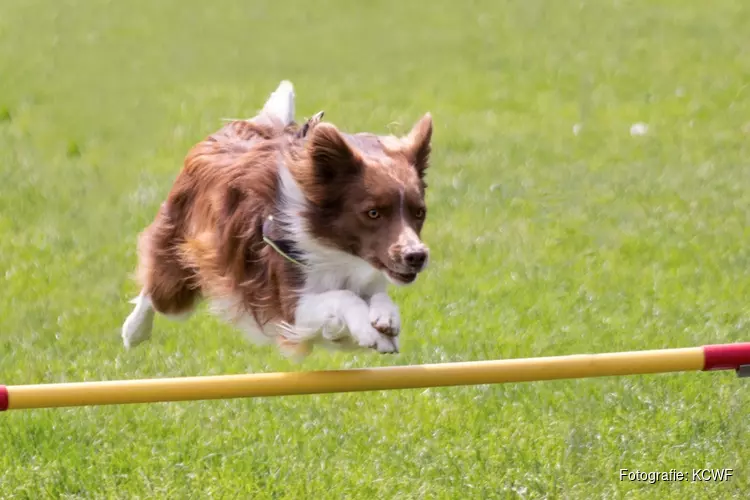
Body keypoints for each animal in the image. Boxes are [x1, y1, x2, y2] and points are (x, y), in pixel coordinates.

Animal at [120, 80, 432, 358]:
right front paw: (368, 330)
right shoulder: (291, 304)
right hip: (180, 265)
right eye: (373, 213)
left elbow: (377, 297)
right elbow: (343, 298)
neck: (337, 250)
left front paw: (386, 320)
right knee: (155, 291)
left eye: (419, 212)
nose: (416, 256)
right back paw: (133, 331)